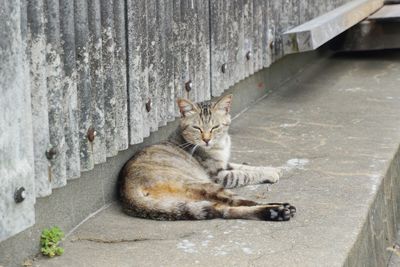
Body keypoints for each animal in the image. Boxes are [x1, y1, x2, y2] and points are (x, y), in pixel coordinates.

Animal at [118, 94, 294, 222]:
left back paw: (276, 212)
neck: (220, 145)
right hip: (205, 185)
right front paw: (270, 173)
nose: (207, 139)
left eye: (215, 127)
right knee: (240, 202)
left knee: (223, 210)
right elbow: (244, 174)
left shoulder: (225, 164)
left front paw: (273, 169)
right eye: (197, 128)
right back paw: (278, 208)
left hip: (187, 203)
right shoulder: (219, 175)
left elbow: (245, 166)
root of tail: (127, 192)